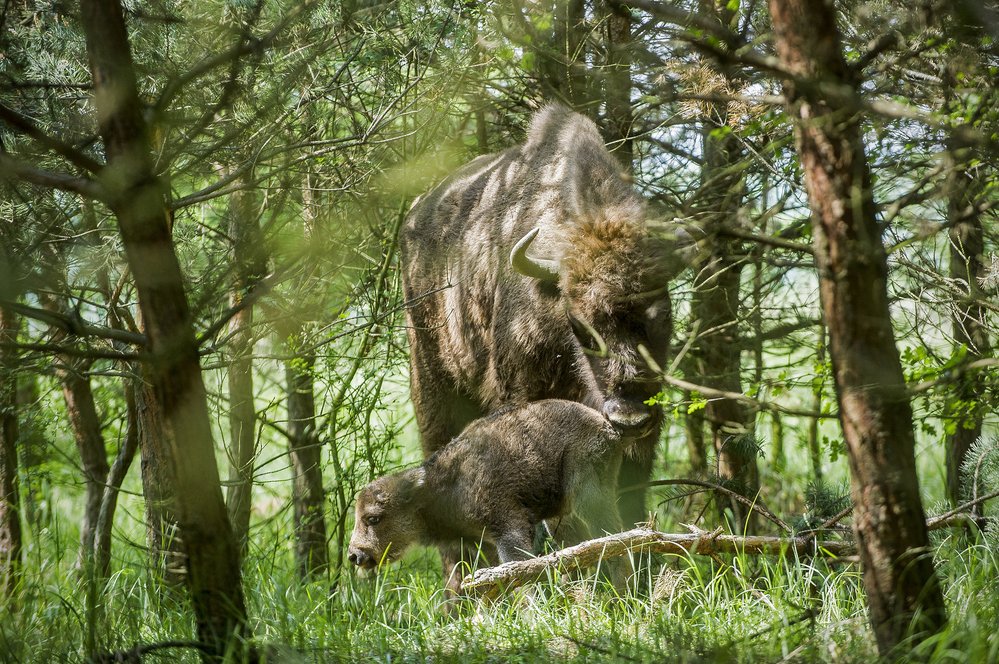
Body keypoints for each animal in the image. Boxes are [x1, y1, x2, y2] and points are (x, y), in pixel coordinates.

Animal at [348, 396, 628, 588]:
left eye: (373, 517)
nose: (355, 555)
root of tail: (607, 428)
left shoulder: (508, 529)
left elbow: (519, 573)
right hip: (559, 515)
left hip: (589, 496)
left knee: (612, 537)